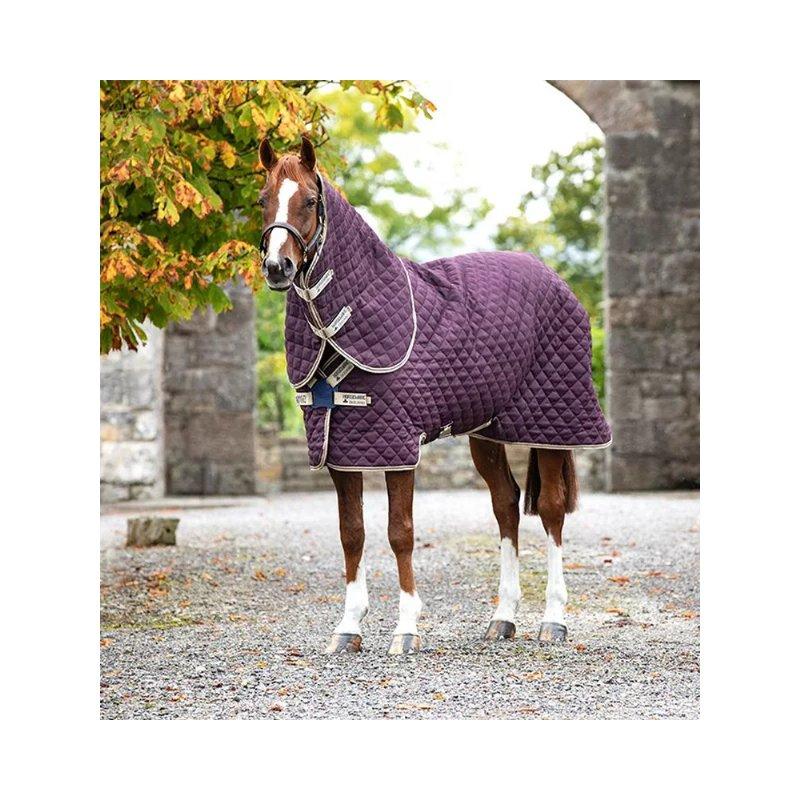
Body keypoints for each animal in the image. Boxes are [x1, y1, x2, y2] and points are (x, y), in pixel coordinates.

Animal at [257, 136, 611, 655]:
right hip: (487, 433)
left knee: (549, 509)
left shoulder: (396, 446)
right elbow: (351, 533)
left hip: (553, 426)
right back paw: (503, 618)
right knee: (506, 505)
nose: (277, 267)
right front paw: (348, 628)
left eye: (307, 200)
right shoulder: (343, 447)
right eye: (264, 199)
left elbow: (400, 532)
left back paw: (553, 620)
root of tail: (554, 279)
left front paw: (406, 629)